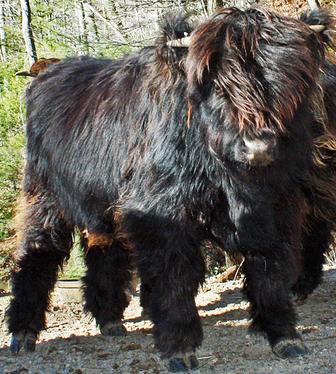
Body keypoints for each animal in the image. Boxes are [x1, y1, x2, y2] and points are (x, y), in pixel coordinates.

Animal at [4, 7, 336, 372]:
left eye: (288, 81)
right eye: (220, 85)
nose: (257, 148)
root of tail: (46, 75)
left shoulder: (274, 208)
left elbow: (270, 269)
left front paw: (285, 336)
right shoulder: (162, 214)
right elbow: (174, 275)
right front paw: (180, 347)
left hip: (105, 203)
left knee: (104, 250)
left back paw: (110, 321)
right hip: (44, 197)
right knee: (39, 251)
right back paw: (23, 333)